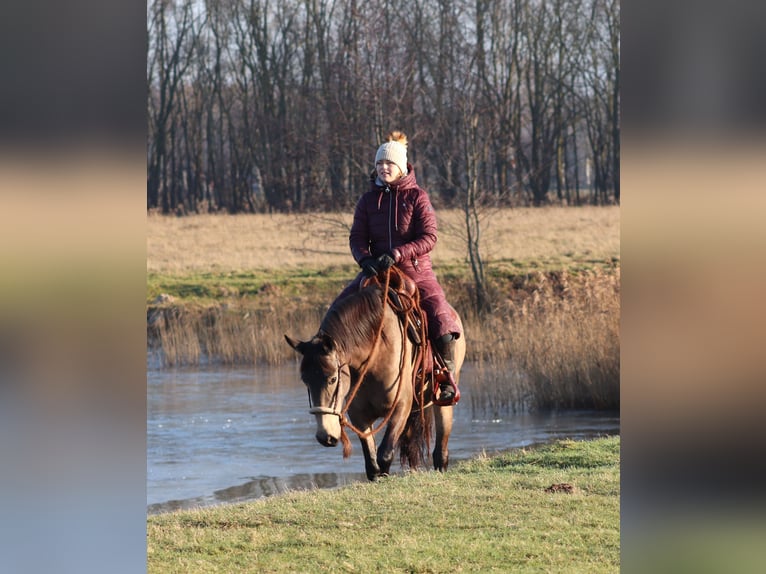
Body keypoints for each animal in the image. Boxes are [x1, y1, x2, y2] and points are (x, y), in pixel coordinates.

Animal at [288, 270, 468, 482]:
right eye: (305, 381)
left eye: (333, 378)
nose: (325, 436)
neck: (374, 354)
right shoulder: (359, 416)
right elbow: (372, 464)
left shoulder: (400, 407)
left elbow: (384, 455)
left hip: (442, 402)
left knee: (440, 452)